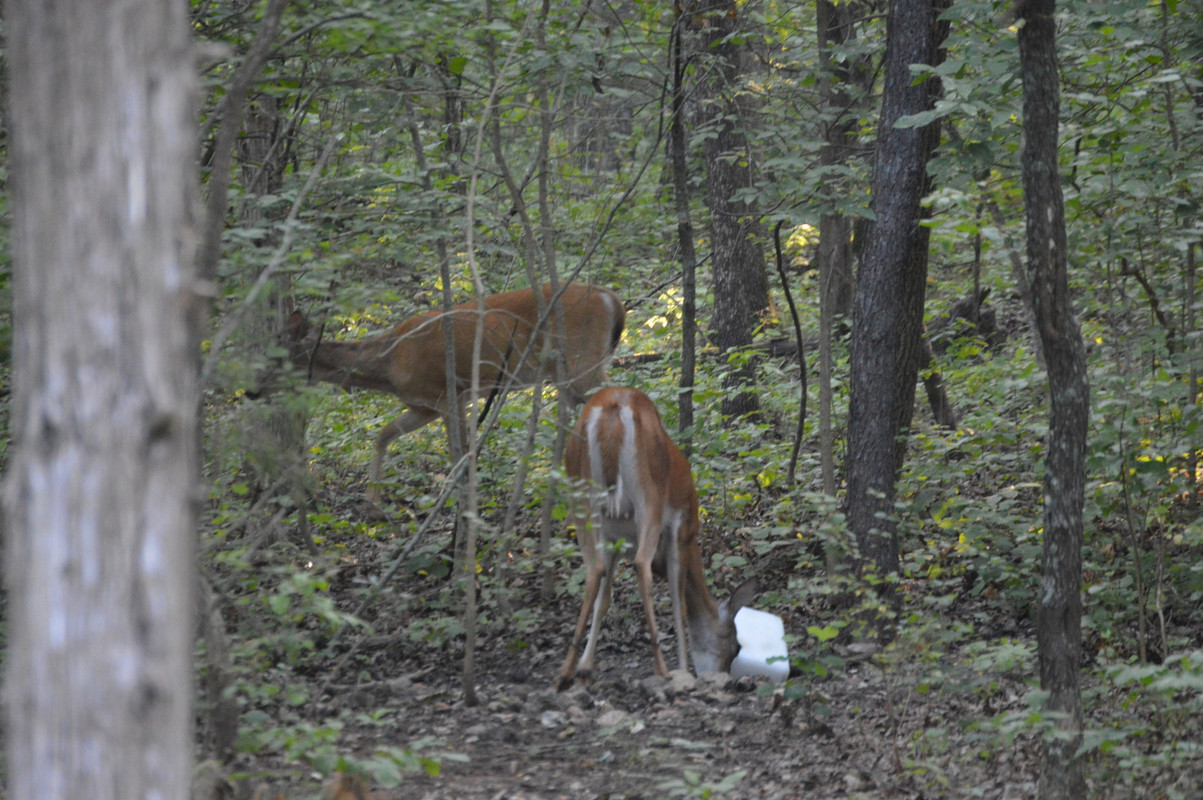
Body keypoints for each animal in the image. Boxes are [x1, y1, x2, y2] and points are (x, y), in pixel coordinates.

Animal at [287, 282, 626, 502]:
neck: (390, 362)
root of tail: (612, 298)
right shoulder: (425, 405)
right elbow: (383, 435)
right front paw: (372, 502)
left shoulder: (446, 394)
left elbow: (457, 452)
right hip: (568, 373)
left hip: (583, 363)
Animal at [556, 386, 757, 690]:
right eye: (735, 647)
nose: (723, 676)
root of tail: (614, 406)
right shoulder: (681, 529)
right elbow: (679, 604)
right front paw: (684, 670)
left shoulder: (613, 539)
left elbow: (604, 598)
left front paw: (585, 669)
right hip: (650, 494)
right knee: (642, 563)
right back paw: (661, 669)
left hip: (579, 493)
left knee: (593, 569)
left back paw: (566, 672)